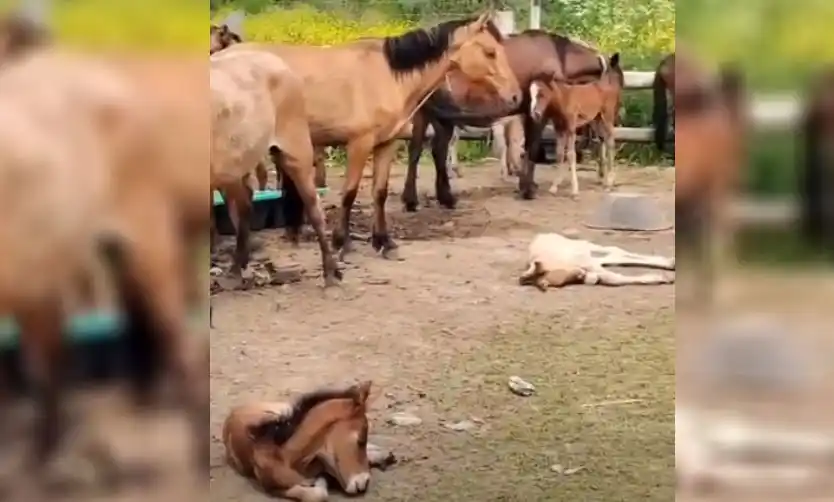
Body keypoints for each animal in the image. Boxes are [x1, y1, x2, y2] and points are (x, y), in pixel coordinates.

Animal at [225, 13, 522, 259]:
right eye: (490, 52)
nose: (516, 96)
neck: (388, 76)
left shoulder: (386, 144)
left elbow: (379, 193)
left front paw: (383, 241)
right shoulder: (359, 143)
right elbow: (349, 192)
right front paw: (341, 242)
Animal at [401, 30, 608, 211]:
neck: (558, 55)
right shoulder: (535, 114)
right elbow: (531, 147)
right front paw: (527, 189)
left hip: (431, 116)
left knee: (423, 151)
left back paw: (427, 199)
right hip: (440, 117)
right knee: (431, 151)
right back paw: (433, 198)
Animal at [529, 52, 624, 198]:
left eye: (542, 93)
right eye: (531, 94)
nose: (535, 114)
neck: (563, 99)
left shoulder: (571, 128)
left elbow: (571, 155)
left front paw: (574, 190)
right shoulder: (559, 129)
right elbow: (559, 153)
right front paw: (554, 187)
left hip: (607, 117)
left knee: (610, 142)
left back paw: (609, 183)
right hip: (596, 120)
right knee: (603, 140)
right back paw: (606, 180)